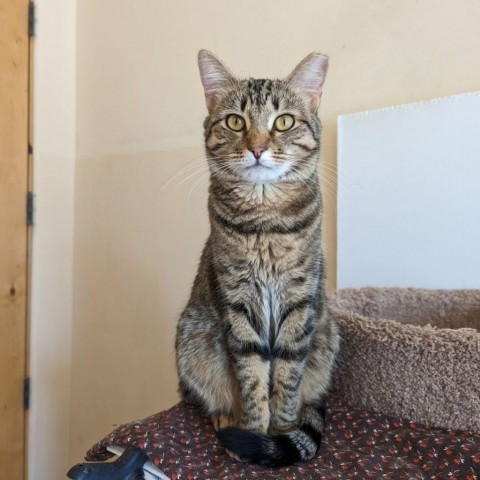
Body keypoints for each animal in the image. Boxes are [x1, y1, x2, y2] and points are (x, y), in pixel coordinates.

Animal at [174, 50, 340, 466]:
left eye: (283, 122)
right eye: (236, 121)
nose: (257, 148)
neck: (264, 219)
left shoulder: (299, 301)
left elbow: (287, 375)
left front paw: (280, 430)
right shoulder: (238, 300)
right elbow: (251, 375)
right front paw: (253, 431)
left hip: (327, 336)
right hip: (192, 341)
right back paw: (224, 417)